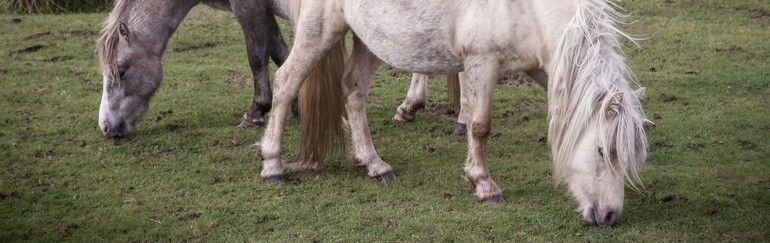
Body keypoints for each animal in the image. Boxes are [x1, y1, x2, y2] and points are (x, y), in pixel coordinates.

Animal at [258, 0, 648, 226]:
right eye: (603, 151)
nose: (610, 216)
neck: (530, 9)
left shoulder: (543, 68)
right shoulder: (481, 62)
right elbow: (479, 125)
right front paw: (484, 185)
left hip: (370, 38)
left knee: (353, 90)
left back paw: (374, 163)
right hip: (319, 30)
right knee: (286, 83)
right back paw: (273, 165)